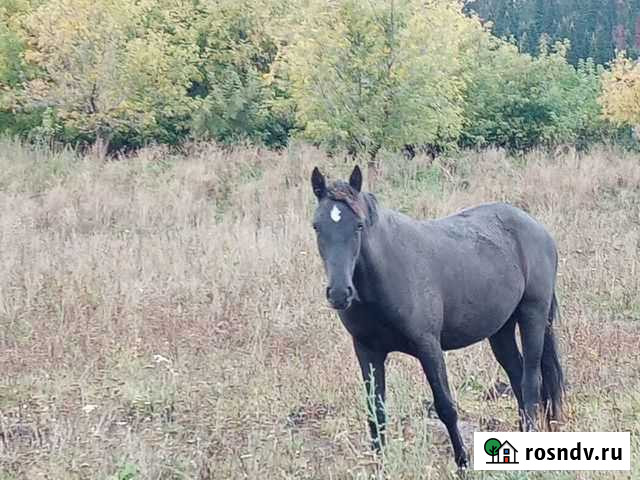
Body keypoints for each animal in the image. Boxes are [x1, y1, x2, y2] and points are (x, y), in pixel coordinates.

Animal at [310, 165, 564, 469]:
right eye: (317, 226)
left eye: (358, 225)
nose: (339, 293)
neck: (387, 273)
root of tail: (538, 229)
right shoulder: (367, 350)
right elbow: (376, 411)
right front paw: (379, 466)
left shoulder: (428, 346)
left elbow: (445, 406)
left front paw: (463, 463)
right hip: (501, 330)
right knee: (517, 376)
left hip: (533, 316)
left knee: (531, 380)